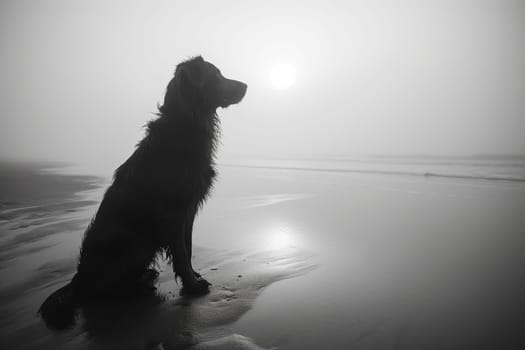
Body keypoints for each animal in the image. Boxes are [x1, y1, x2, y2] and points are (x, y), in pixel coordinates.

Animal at [39, 56, 248, 330]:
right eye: (216, 75)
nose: (245, 85)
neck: (187, 123)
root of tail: (78, 280)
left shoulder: (189, 211)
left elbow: (188, 247)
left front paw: (193, 276)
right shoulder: (174, 212)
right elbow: (182, 252)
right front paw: (192, 285)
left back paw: (145, 275)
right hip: (130, 242)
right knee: (103, 291)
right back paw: (133, 288)